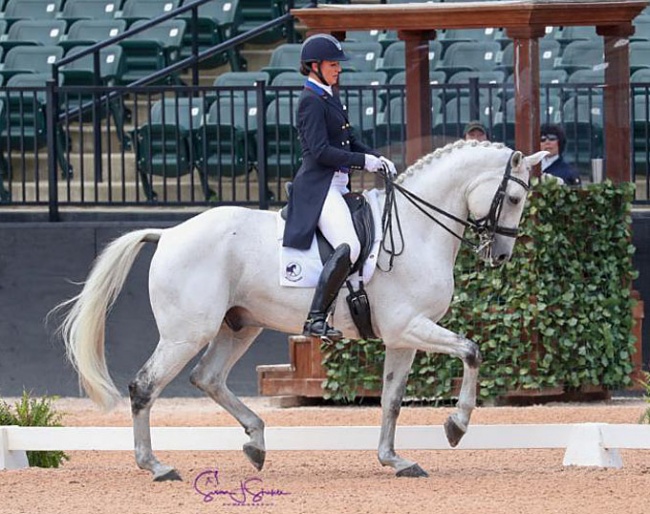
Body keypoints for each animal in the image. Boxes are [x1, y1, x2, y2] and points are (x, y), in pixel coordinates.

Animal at [55, 138, 544, 478]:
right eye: (514, 199)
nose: (501, 255)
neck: (418, 229)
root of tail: (170, 233)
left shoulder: (401, 338)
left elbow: (392, 400)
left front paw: (394, 460)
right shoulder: (410, 326)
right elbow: (471, 351)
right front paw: (456, 425)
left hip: (238, 326)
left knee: (207, 378)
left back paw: (255, 442)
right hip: (186, 333)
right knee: (144, 386)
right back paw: (156, 467)